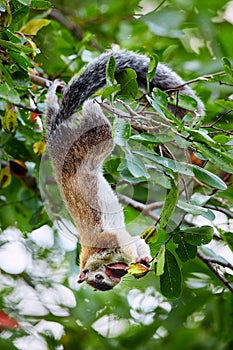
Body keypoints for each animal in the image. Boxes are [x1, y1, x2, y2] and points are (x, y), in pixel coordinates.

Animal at [45, 48, 204, 290]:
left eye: (98, 277)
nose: (116, 278)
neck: (92, 255)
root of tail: (57, 135)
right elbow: (137, 242)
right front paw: (143, 259)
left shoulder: (108, 240)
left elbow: (126, 243)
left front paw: (137, 259)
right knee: (52, 112)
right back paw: (54, 95)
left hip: (89, 141)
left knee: (95, 123)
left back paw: (94, 103)